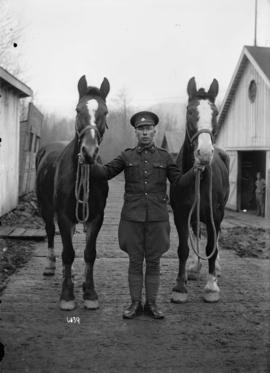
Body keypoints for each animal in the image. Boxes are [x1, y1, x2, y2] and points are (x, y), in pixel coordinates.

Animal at [35, 75, 109, 308]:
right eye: (78, 110)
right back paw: (51, 266)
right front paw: (67, 295)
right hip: (46, 208)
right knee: (51, 232)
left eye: (105, 112)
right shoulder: (63, 216)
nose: (88, 152)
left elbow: (89, 253)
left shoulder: (95, 217)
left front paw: (90, 292)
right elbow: (68, 253)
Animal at [170, 76, 229, 302]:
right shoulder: (180, 213)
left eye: (216, 112)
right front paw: (180, 286)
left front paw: (211, 286)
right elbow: (183, 247)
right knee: (196, 232)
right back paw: (194, 268)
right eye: (189, 111)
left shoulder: (215, 214)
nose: (204, 153)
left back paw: (216, 267)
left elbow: (211, 245)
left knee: (216, 238)